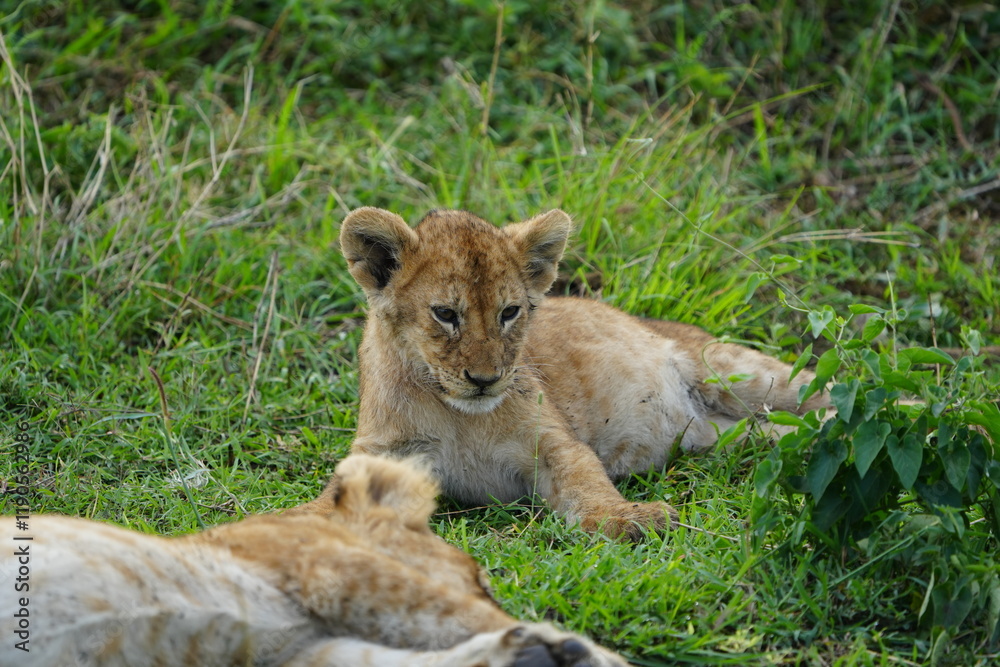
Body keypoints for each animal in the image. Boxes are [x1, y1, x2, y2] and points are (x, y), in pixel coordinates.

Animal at [0, 455, 625, 666]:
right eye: (480, 578)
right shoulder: (335, 569)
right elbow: (464, 619)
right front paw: (586, 654)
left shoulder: (297, 652)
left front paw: (539, 654)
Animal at [340, 207, 828, 539]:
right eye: (444, 314)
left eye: (509, 312)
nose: (485, 379)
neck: (459, 416)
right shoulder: (384, 453)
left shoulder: (552, 443)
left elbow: (586, 482)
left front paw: (630, 518)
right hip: (735, 434)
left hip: (735, 371)